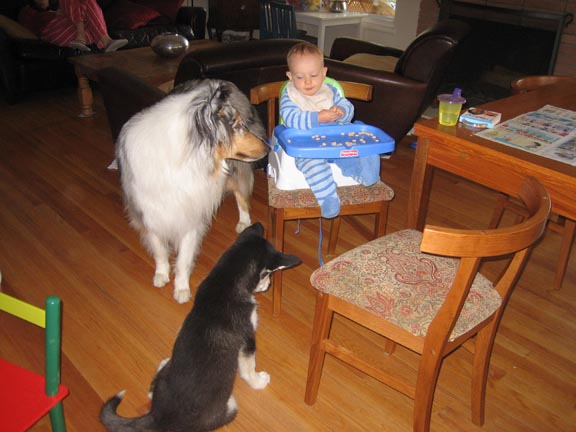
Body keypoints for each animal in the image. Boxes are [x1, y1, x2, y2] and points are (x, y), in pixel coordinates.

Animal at [100, 222, 301, 432]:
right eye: (268, 274)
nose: (268, 285)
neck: (227, 280)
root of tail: (158, 416)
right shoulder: (247, 339)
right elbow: (248, 368)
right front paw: (258, 381)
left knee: (153, 387)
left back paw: (163, 366)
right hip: (230, 406)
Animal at [116, 79, 269, 303]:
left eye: (242, 125)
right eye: (237, 126)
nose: (268, 147)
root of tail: (223, 81)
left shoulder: (191, 214)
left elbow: (184, 257)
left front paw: (181, 288)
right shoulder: (148, 212)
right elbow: (159, 248)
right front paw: (161, 273)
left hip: (236, 168)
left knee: (241, 193)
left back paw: (244, 222)